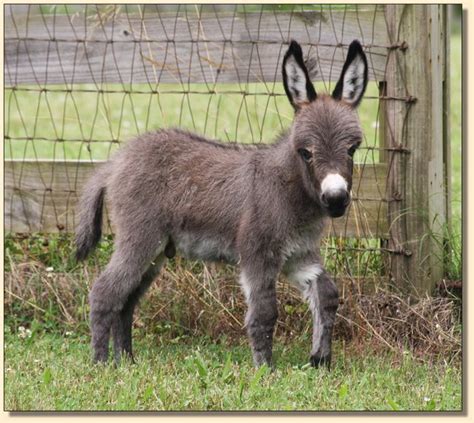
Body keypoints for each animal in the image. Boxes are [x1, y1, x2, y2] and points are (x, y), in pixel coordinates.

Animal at [75, 40, 370, 372]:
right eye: (305, 152)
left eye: (352, 149)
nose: (336, 200)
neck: (289, 189)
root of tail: (115, 161)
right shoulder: (257, 254)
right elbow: (264, 313)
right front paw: (265, 369)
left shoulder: (300, 255)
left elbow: (327, 294)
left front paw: (320, 360)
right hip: (139, 238)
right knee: (105, 292)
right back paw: (101, 364)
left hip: (156, 251)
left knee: (126, 301)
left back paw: (127, 360)